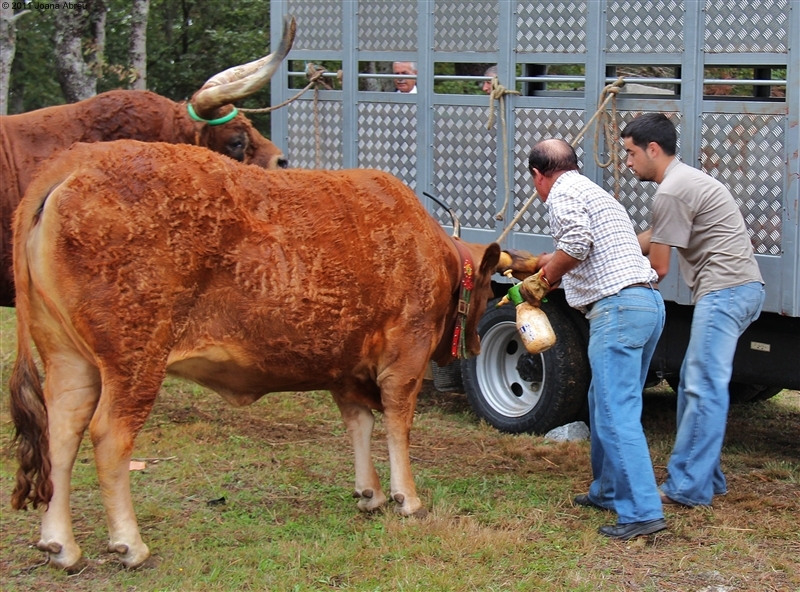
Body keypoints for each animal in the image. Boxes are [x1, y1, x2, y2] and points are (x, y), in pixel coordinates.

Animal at [10, 138, 524, 568]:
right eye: (486, 292)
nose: (475, 344)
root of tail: (80, 158)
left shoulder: (344, 366)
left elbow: (358, 423)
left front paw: (369, 493)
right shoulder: (406, 355)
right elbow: (398, 423)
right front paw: (406, 498)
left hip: (68, 359)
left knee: (62, 431)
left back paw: (59, 544)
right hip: (135, 359)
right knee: (109, 436)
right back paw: (129, 544)